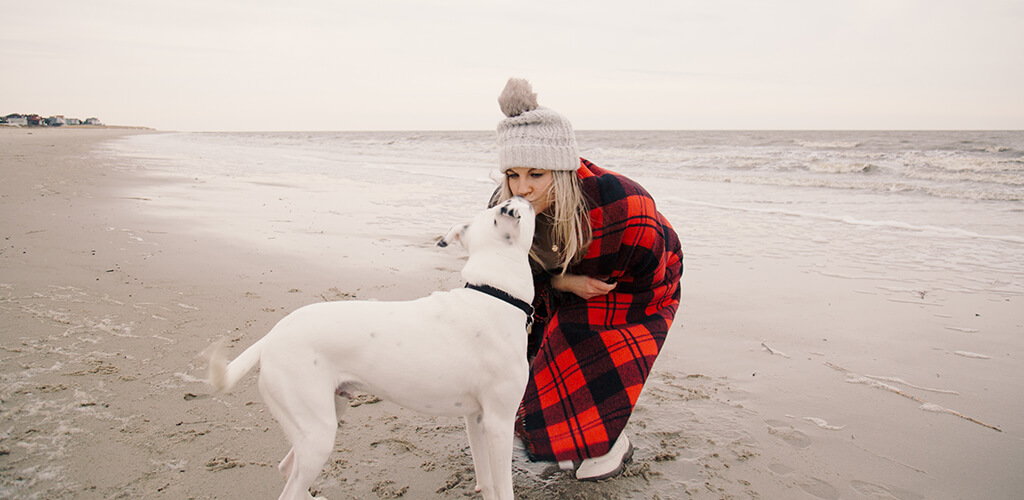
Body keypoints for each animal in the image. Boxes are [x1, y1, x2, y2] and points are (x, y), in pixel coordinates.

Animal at [205, 197, 536, 497]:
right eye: (514, 202)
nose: (524, 196)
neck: (494, 292)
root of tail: (272, 335)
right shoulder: (499, 423)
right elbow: (503, 487)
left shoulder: (476, 419)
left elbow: (487, 482)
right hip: (318, 434)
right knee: (290, 489)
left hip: (325, 414)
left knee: (287, 469)